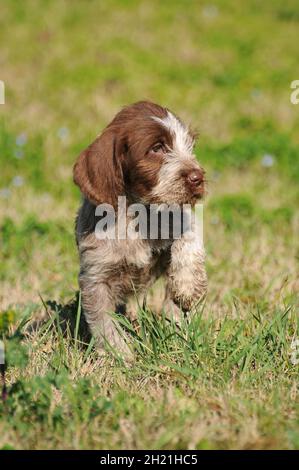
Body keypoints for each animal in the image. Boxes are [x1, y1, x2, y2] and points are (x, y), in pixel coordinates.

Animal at [74, 101, 207, 354]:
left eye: (189, 145)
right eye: (157, 148)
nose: (198, 177)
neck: (138, 214)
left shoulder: (178, 215)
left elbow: (190, 232)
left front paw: (187, 284)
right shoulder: (96, 277)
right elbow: (104, 323)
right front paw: (121, 355)